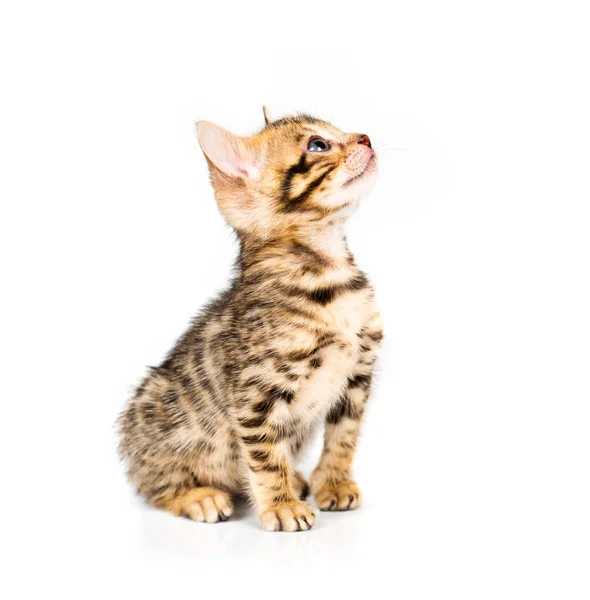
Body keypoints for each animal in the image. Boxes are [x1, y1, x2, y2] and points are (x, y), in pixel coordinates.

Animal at [119, 110, 386, 532]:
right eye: (317, 145)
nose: (366, 138)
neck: (327, 278)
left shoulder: (357, 375)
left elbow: (344, 437)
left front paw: (334, 482)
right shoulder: (256, 392)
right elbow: (265, 455)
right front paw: (281, 505)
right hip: (152, 417)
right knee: (155, 485)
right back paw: (199, 496)